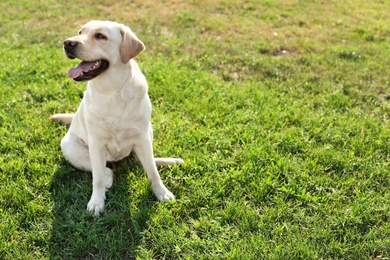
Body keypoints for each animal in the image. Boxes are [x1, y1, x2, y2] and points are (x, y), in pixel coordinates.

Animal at [51, 20, 184, 215]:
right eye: (80, 32)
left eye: (100, 36)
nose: (67, 43)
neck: (112, 91)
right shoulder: (97, 144)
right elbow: (97, 178)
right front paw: (97, 202)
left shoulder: (142, 138)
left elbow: (152, 171)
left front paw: (162, 193)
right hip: (70, 147)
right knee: (105, 170)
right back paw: (108, 179)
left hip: (148, 131)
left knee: (143, 160)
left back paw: (170, 161)